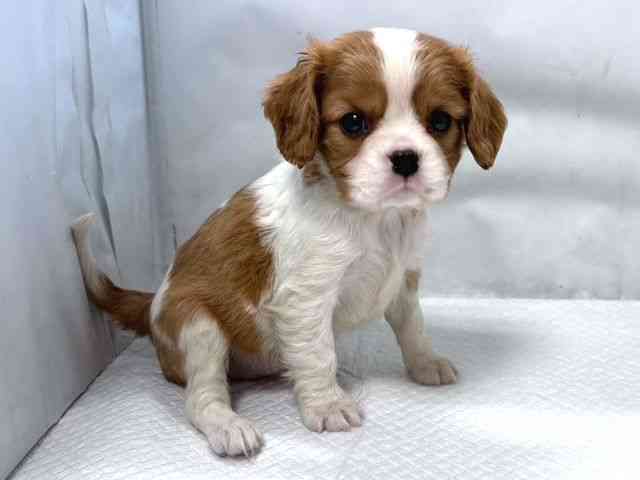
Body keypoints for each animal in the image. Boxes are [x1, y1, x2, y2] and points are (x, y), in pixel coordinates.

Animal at [71, 27, 507, 457]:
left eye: (440, 120)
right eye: (353, 122)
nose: (405, 158)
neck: (376, 218)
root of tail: (151, 307)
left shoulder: (404, 278)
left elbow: (413, 326)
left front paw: (425, 364)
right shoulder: (305, 297)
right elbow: (317, 353)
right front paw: (328, 404)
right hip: (197, 325)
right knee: (202, 397)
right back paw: (229, 427)